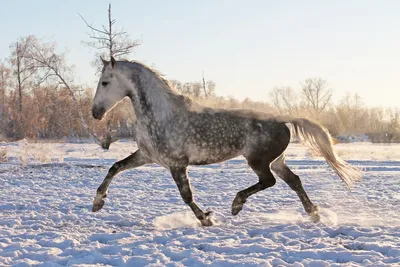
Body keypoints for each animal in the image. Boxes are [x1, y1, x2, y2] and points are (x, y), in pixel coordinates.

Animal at [91, 57, 362, 227]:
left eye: (105, 82)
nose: (95, 113)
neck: (161, 114)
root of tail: (282, 119)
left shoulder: (177, 164)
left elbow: (186, 195)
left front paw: (206, 219)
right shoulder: (147, 156)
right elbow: (115, 167)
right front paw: (97, 203)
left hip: (258, 161)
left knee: (269, 182)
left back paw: (236, 205)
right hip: (276, 161)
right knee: (293, 181)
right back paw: (313, 214)